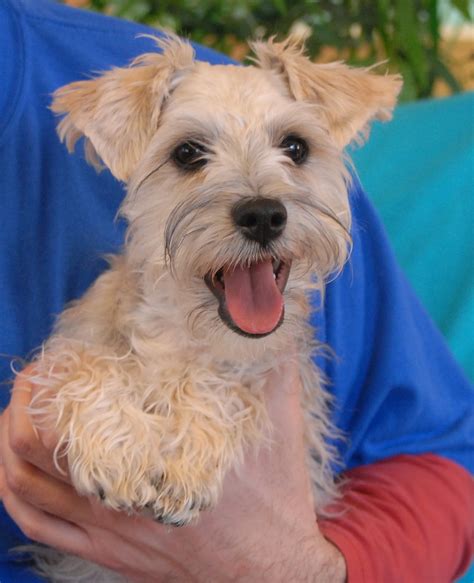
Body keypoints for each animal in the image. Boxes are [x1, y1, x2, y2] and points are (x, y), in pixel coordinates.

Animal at [26, 34, 400, 580]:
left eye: (295, 147)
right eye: (187, 153)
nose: (263, 214)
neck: (181, 333)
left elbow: (225, 384)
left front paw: (186, 459)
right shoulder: (71, 348)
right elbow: (82, 363)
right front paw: (119, 450)